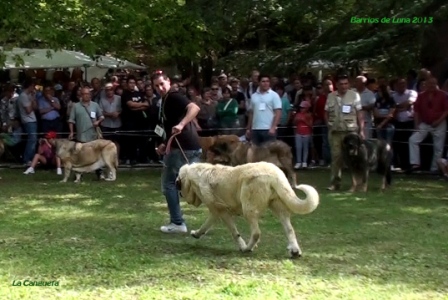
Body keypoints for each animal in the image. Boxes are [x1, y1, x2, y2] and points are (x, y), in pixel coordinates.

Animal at [175, 162, 318, 258]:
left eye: (179, 185)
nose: (179, 194)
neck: (194, 177)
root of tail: (274, 175)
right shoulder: (215, 212)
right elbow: (205, 226)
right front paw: (196, 234)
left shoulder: (221, 212)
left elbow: (234, 232)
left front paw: (242, 245)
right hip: (278, 208)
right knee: (289, 229)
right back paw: (295, 251)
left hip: (248, 209)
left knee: (256, 233)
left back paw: (248, 248)